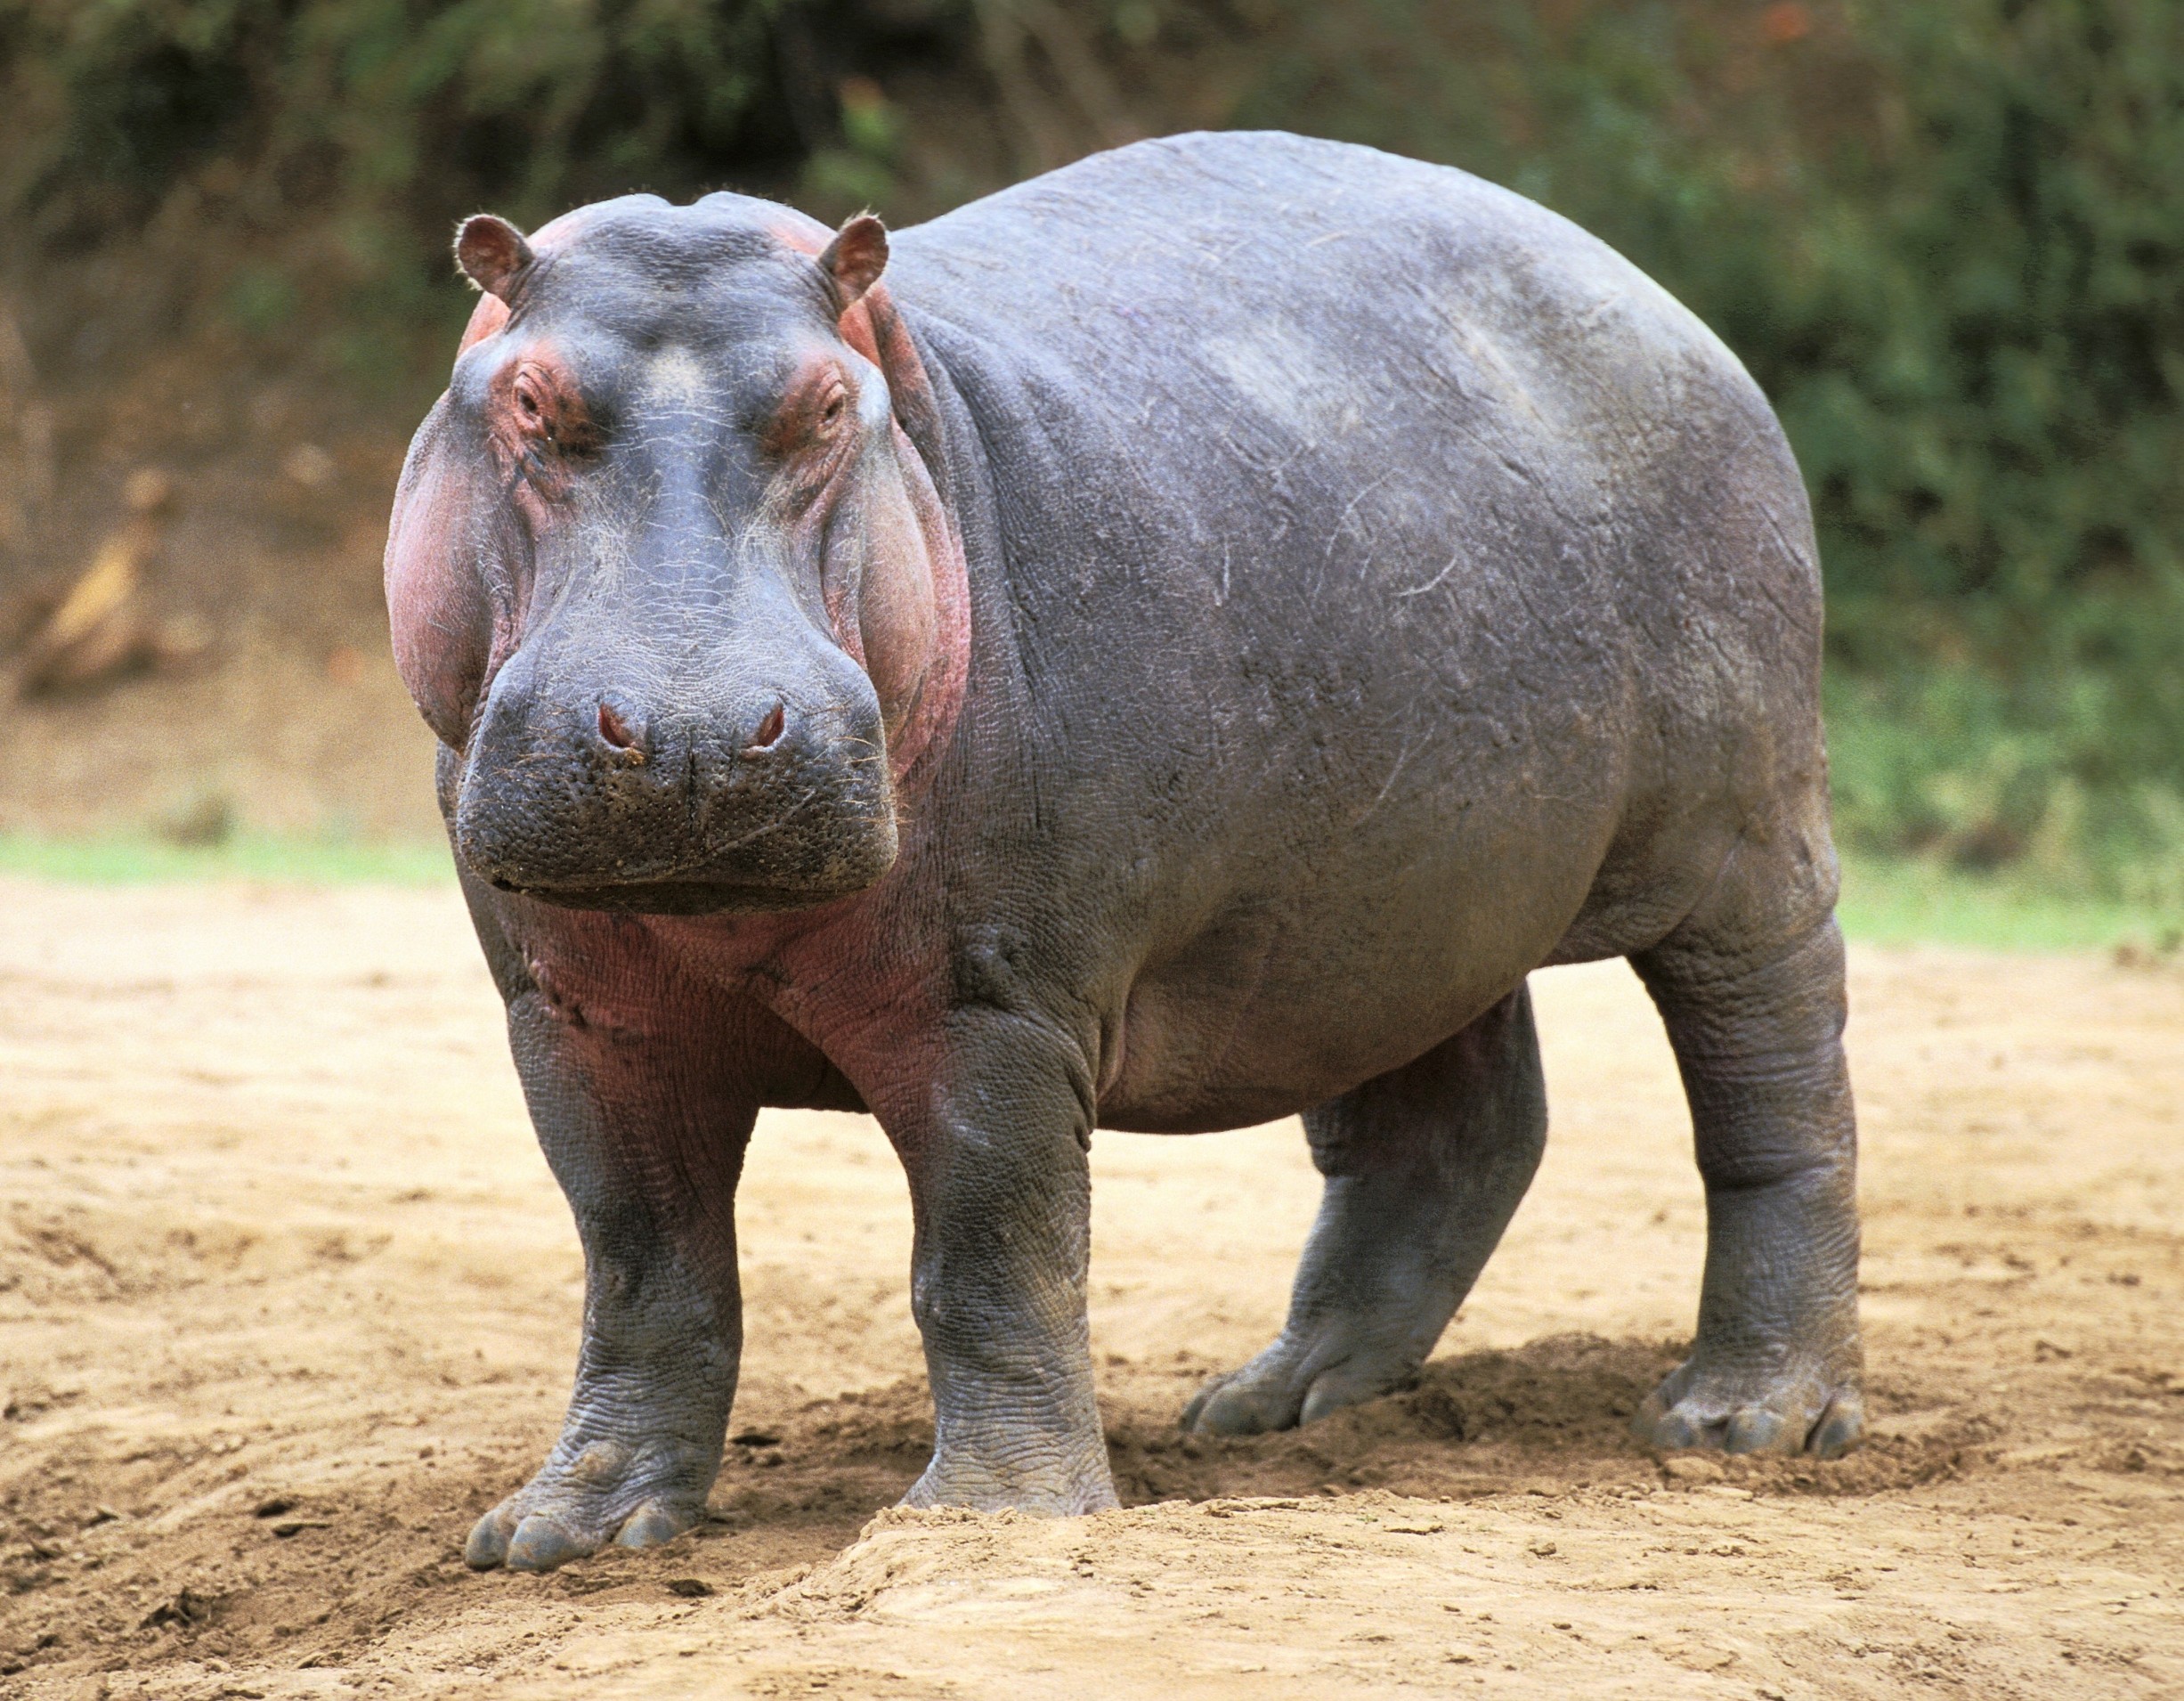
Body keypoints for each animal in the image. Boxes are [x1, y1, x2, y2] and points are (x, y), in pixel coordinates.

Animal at [384, 130, 1863, 1574]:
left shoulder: (992, 1002)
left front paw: (986, 1520)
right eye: (525, 401)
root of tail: (1646, 292)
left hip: (1742, 844)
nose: (691, 730)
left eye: (827, 409)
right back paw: (1274, 1408)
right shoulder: (572, 1013)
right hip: (1385, 902)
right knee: (1451, 1125)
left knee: (1773, 1091)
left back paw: (1739, 1422)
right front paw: (559, 1534)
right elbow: (643, 1261)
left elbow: (990, 1251)